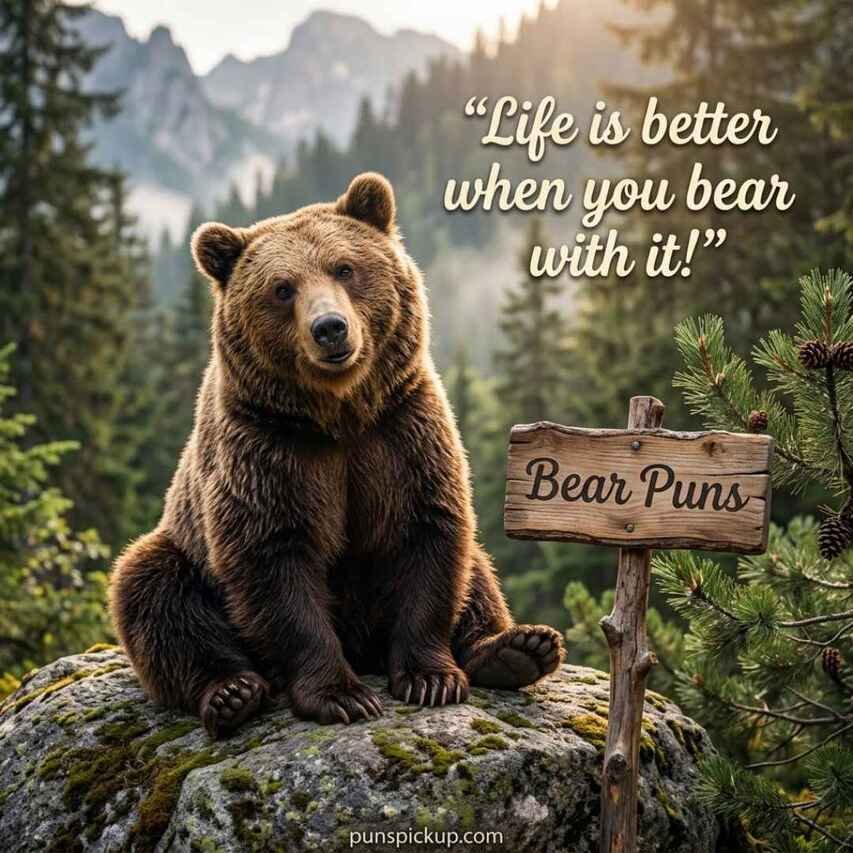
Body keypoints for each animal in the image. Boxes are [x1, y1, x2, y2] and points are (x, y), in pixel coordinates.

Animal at [110, 173, 563, 738]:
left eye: (344, 267)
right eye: (282, 288)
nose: (330, 327)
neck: (340, 416)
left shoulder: (402, 432)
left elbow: (429, 537)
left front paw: (430, 678)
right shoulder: (268, 451)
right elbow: (275, 563)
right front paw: (341, 695)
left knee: (477, 573)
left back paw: (516, 649)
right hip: (184, 550)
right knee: (153, 591)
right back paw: (231, 693)